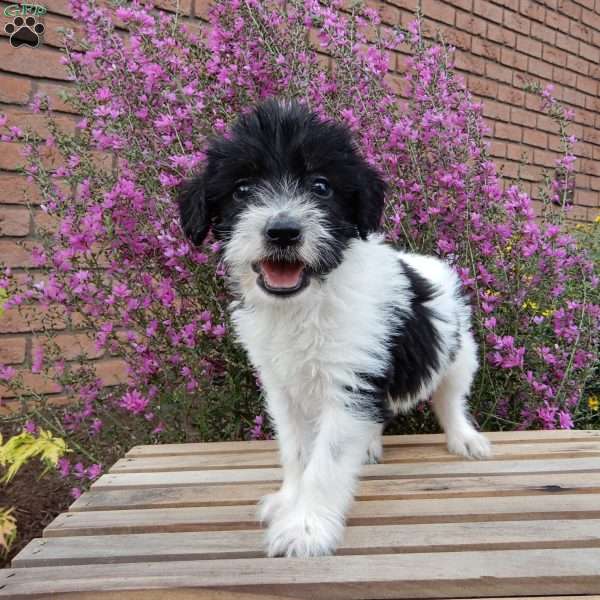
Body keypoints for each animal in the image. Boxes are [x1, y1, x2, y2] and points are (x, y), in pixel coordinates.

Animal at [179, 99, 492, 556]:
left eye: (321, 186)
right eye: (242, 189)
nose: (283, 231)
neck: (305, 304)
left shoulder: (350, 383)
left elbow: (325, 463)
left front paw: (306, 528)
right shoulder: (283, 387)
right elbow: (297, 452)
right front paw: (290, 501)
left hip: (458, 355)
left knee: (450, 399)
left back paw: (464, 438)